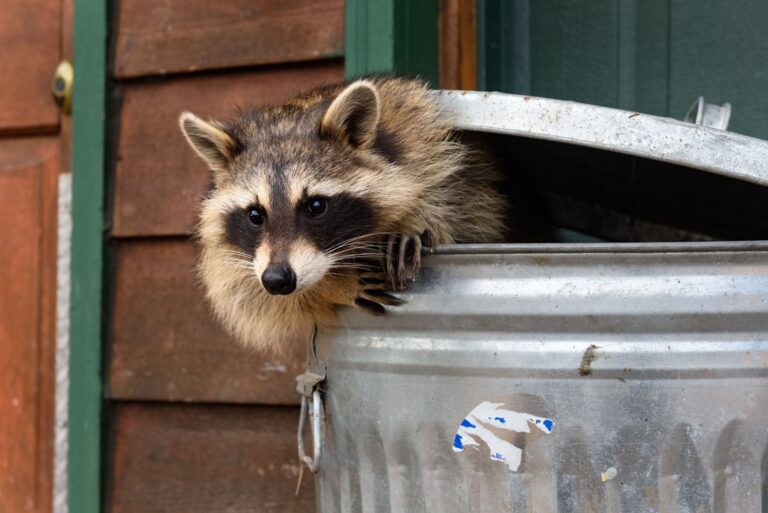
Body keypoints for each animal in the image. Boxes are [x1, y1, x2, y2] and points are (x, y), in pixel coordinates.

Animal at [179, 76, 508, 352]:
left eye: (315, 207)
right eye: (255, 215)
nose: (277, 279)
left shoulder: (429, 148)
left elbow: (456, 203)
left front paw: (415, 220)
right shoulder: (237, 259)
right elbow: (248, 294)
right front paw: (333, 287)